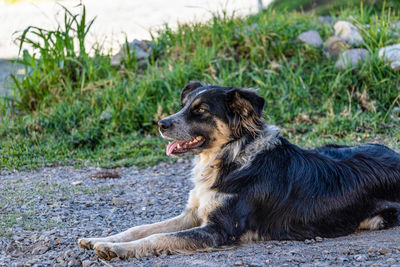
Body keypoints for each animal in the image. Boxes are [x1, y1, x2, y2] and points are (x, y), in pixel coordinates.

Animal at [78, 82, 400, 260]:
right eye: (183, 106)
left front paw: (116, 250)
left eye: (200, 111)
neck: (231, 158)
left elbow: (157, 239)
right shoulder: (193, 214)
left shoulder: (219, 230)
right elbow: (142, 228)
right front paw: (101, 239)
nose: (161, 123)